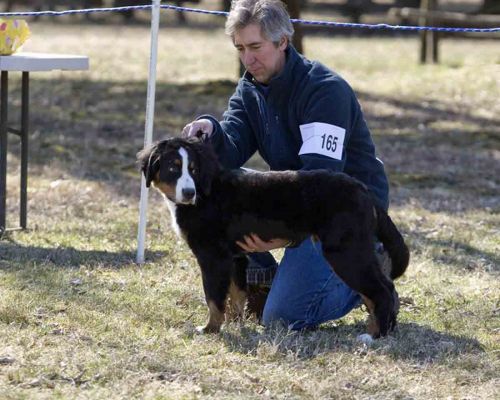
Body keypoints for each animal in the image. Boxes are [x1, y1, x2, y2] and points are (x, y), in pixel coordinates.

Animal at [138, 137, 410, 338]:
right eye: (173, 167)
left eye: (192, 170)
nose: (188, 192)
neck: (206, 193)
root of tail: (362, 189)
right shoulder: (235, 258)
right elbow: (236, 296)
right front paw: (236, 325)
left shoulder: (213, 258)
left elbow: (214, 299)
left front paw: (210, 329)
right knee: (380, 289)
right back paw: (380, 329)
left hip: (345, 252)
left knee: (381, 290)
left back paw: (375, 335)